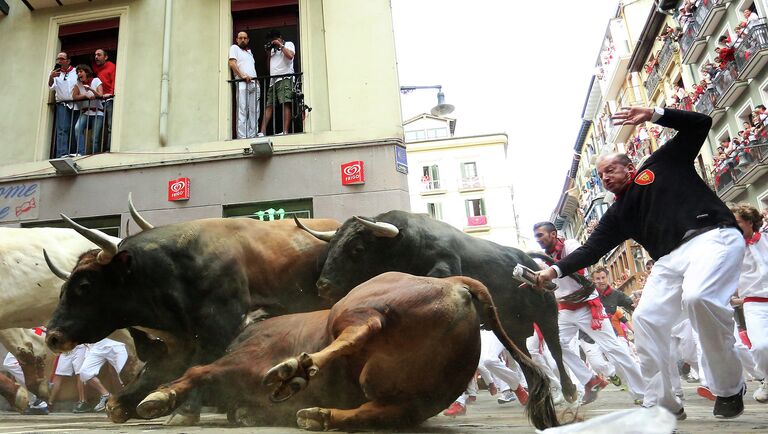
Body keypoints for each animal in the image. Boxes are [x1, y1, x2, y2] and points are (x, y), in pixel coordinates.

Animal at [44, 206, 340, 424]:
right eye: (63, 287)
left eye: (85, 286)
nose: (52, 336)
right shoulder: (180, 339)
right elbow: (157, 369)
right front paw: (124, 402)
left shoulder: (222, 326)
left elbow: (205, 363)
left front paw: (184, 409)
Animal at [134, 272, 560, 428]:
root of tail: (456, 284)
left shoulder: (240, 360)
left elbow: (196, 371)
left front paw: (157, 400)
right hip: (414, 396)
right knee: (375, 410)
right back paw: (317, 413)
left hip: (356, 307)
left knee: (361, 328)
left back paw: (293, 373)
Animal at [296, 212, 580, 422]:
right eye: (332, 247)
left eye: (357, 248)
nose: (323, 286)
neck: (405, 246)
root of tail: (530, 262)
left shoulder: (444, 265)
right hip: (513, 326)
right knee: (523, 356)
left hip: (546, 314)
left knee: (555, 349)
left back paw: (569, 391)